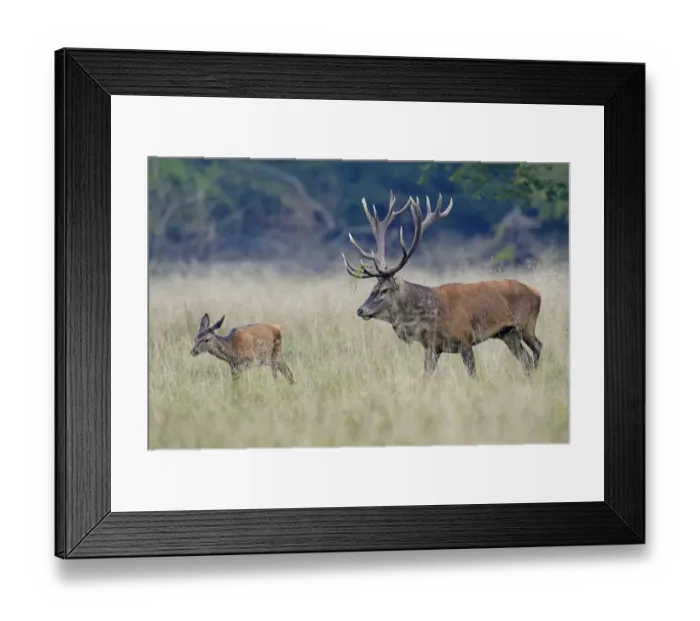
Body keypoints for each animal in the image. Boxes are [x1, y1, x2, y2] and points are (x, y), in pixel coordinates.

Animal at [341, 190, 543, 380]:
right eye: (372, 289)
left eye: (384, 290)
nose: (361, 310)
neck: (431, 317)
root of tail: (536, 292)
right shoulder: (431, 347)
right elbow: (425, 377)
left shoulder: (465, 339)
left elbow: (474, 376)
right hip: (508, 333)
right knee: (525, 359)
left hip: (526, 324)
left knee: (538, 347)